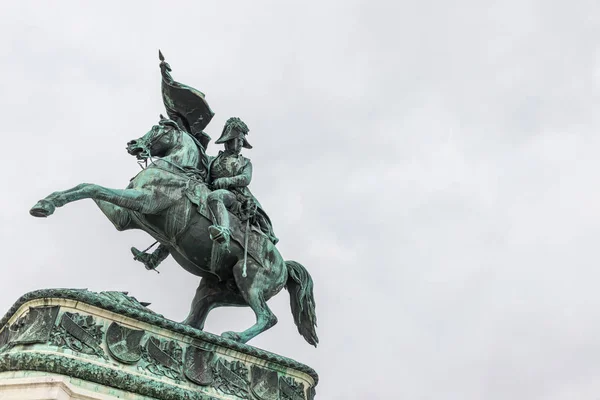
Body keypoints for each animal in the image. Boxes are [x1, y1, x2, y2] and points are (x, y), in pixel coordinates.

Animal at [29, 117, 318, 346]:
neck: (174, 170)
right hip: (215, 290)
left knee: (268, 317)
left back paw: (235, 336)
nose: (132, 144)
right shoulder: (125, 217)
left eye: (158, 129)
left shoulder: (144, 201)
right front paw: (45, 203)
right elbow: (88, 186)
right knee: (194, 323)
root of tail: (284, 265)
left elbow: (93, 187)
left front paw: (47, 204)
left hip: (249, 281)